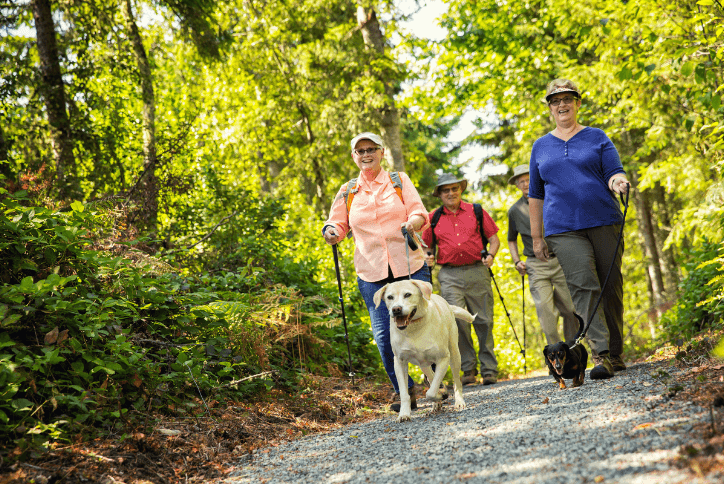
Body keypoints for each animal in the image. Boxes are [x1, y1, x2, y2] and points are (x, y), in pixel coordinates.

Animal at [374, 278, 476, 422]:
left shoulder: (443, 359)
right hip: (424, 365)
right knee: (432, 377)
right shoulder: (399, 363)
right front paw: (404, 414)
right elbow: (406, 393)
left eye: (407, 294)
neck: (413, 328)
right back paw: (437, 402)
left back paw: (459, 401)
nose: (396, 309)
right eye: (389, 297)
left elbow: (430, 392)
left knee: (456, 382)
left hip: (455, 356)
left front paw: (440, 396)